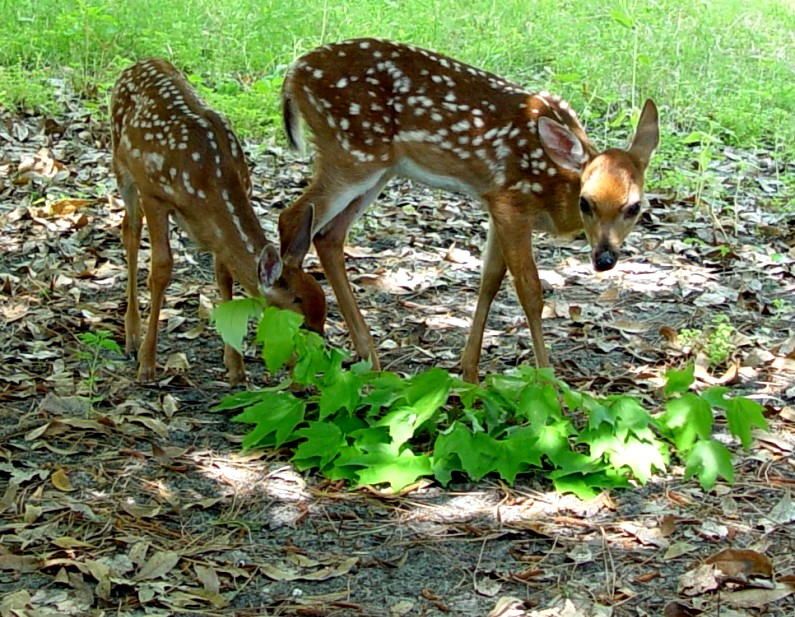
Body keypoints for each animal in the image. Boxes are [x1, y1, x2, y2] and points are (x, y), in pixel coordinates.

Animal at [110, 58, 327, 385]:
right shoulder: (155, 195)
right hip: (121, 163)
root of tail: (141, 62)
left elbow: (223, 275)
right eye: (298, 322)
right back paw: (132, 338)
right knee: (131, 231)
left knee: (127, 226)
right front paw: (147, 365)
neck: (210, 183)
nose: (304, 379)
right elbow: (161, 270)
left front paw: (236, 368)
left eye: (325, 314)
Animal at [277, 38, 660, 383]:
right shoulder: (511, 201)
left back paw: (369, 359)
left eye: (635, 207)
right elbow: (530, 292)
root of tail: (294, 71)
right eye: (586, 202)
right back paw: (292, 353)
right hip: (350, 153)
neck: (555, 185)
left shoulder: (497, 206)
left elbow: (489, 281)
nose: (604, 259)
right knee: (291, 217)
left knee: (328, 235)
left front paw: (470, 373)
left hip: (376, 167)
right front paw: (549, 384)